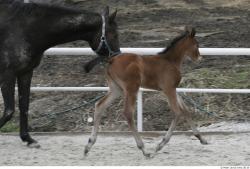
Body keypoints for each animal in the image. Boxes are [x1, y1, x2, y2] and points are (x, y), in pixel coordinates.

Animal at [0, 0, 121, 147]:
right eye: (114, 35)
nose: (117, 56)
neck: (25, 29)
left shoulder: (25, 73)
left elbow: (24, 107)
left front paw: (27, 138)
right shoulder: (7, 75)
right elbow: (9, 111)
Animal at [85, 27, 208, 158]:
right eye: (196, 45)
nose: (200, 58)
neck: (170, 61)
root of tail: (111, 59)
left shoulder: (172, 89)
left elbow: (186, 110)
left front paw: (202, 138)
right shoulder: (169, 89)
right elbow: (177, 112)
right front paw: (160, 145)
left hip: (116, 89)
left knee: (99, 105)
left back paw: (89, 145)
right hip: (131, 88)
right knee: (128, 113)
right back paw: (143, 149)